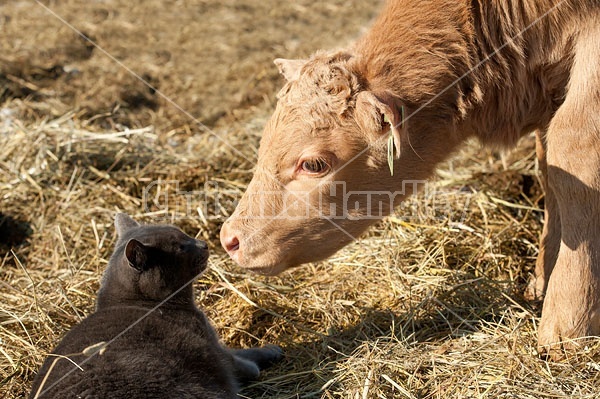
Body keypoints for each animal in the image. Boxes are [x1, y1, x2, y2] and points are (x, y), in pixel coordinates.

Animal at [28, 216, 282, 399]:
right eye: (181, 246)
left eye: (185, 234)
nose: (204, 244)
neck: (144, 303)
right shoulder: (211, 342)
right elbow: (239, 359)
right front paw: (271, 352)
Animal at [220, 0, 600, 356]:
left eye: (313, 164)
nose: (229, 239)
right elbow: (550, 166)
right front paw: (542, 281)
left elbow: (573, 147)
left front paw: (567, 327)